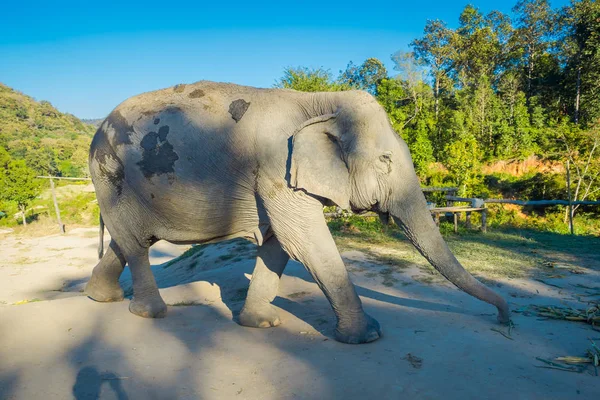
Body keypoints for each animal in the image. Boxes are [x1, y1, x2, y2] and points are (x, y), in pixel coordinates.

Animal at [83, 80, 506, 344]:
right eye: (386, 161)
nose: (506, 318)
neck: (319, 100)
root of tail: (97, 131)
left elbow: (279, 242)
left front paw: (261, 324)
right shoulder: (275, 166)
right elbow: (303, 239)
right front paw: (368, 335)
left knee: (127, 240)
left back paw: (99, 297)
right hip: (110, 177)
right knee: (136, 245)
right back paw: (149, 313)